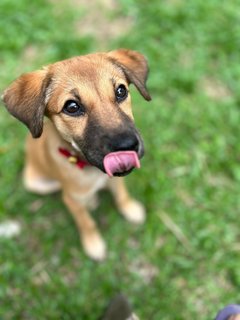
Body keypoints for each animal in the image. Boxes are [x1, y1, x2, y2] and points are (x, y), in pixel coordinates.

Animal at [1, 49, 151, 260]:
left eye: (121, 91)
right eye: (71, 107)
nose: (127, 146)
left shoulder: (116, 178)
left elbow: (121, 193)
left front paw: (130, 208)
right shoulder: (71, 200)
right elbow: (86, 222)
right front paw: (93, 244)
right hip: (36, 183)